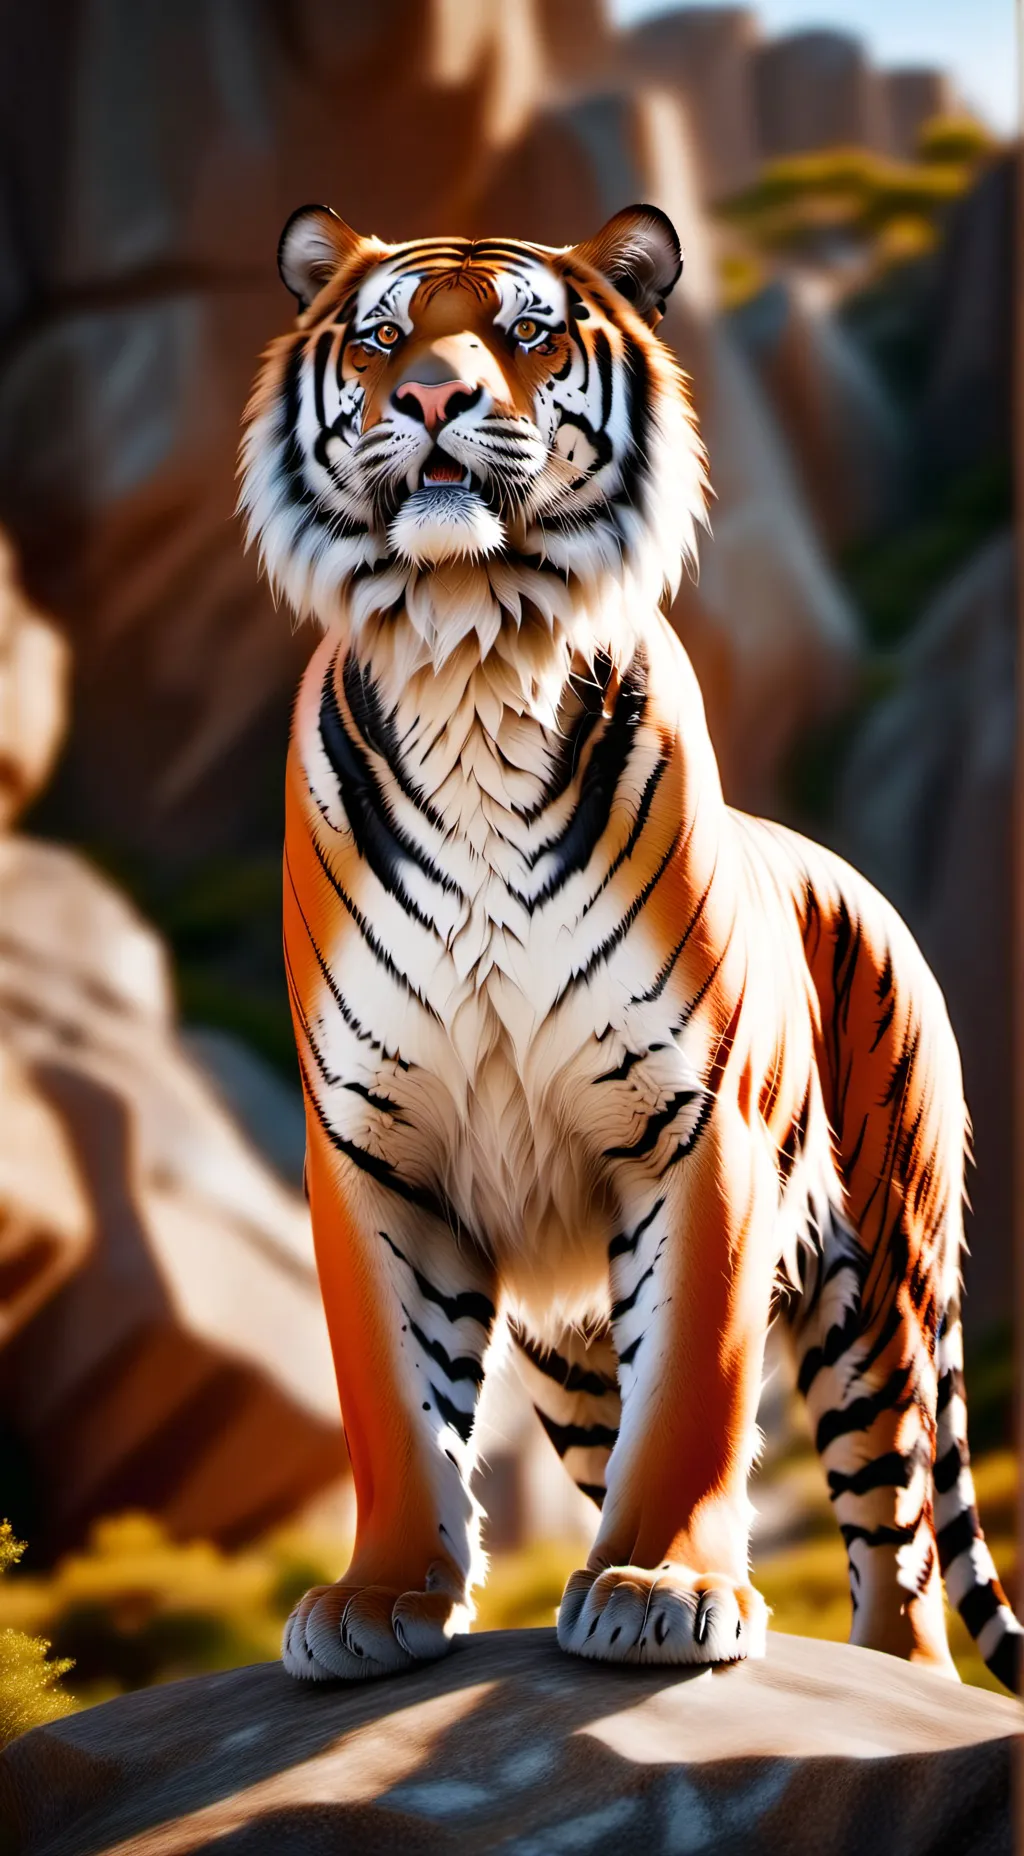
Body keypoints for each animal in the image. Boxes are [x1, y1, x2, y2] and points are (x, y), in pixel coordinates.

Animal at [238, 199, 1022, 1690]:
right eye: (379, 340)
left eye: (528, 331)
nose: (434, 397)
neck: (469, 654)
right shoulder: (373, 1143)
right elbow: (393, 1397)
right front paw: (380, 1599)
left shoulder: (701, 1123)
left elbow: (697, 1387)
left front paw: (664, 1587)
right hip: (573, 1345)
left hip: (880, 1288)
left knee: (893, 1537)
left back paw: (889, 1671)